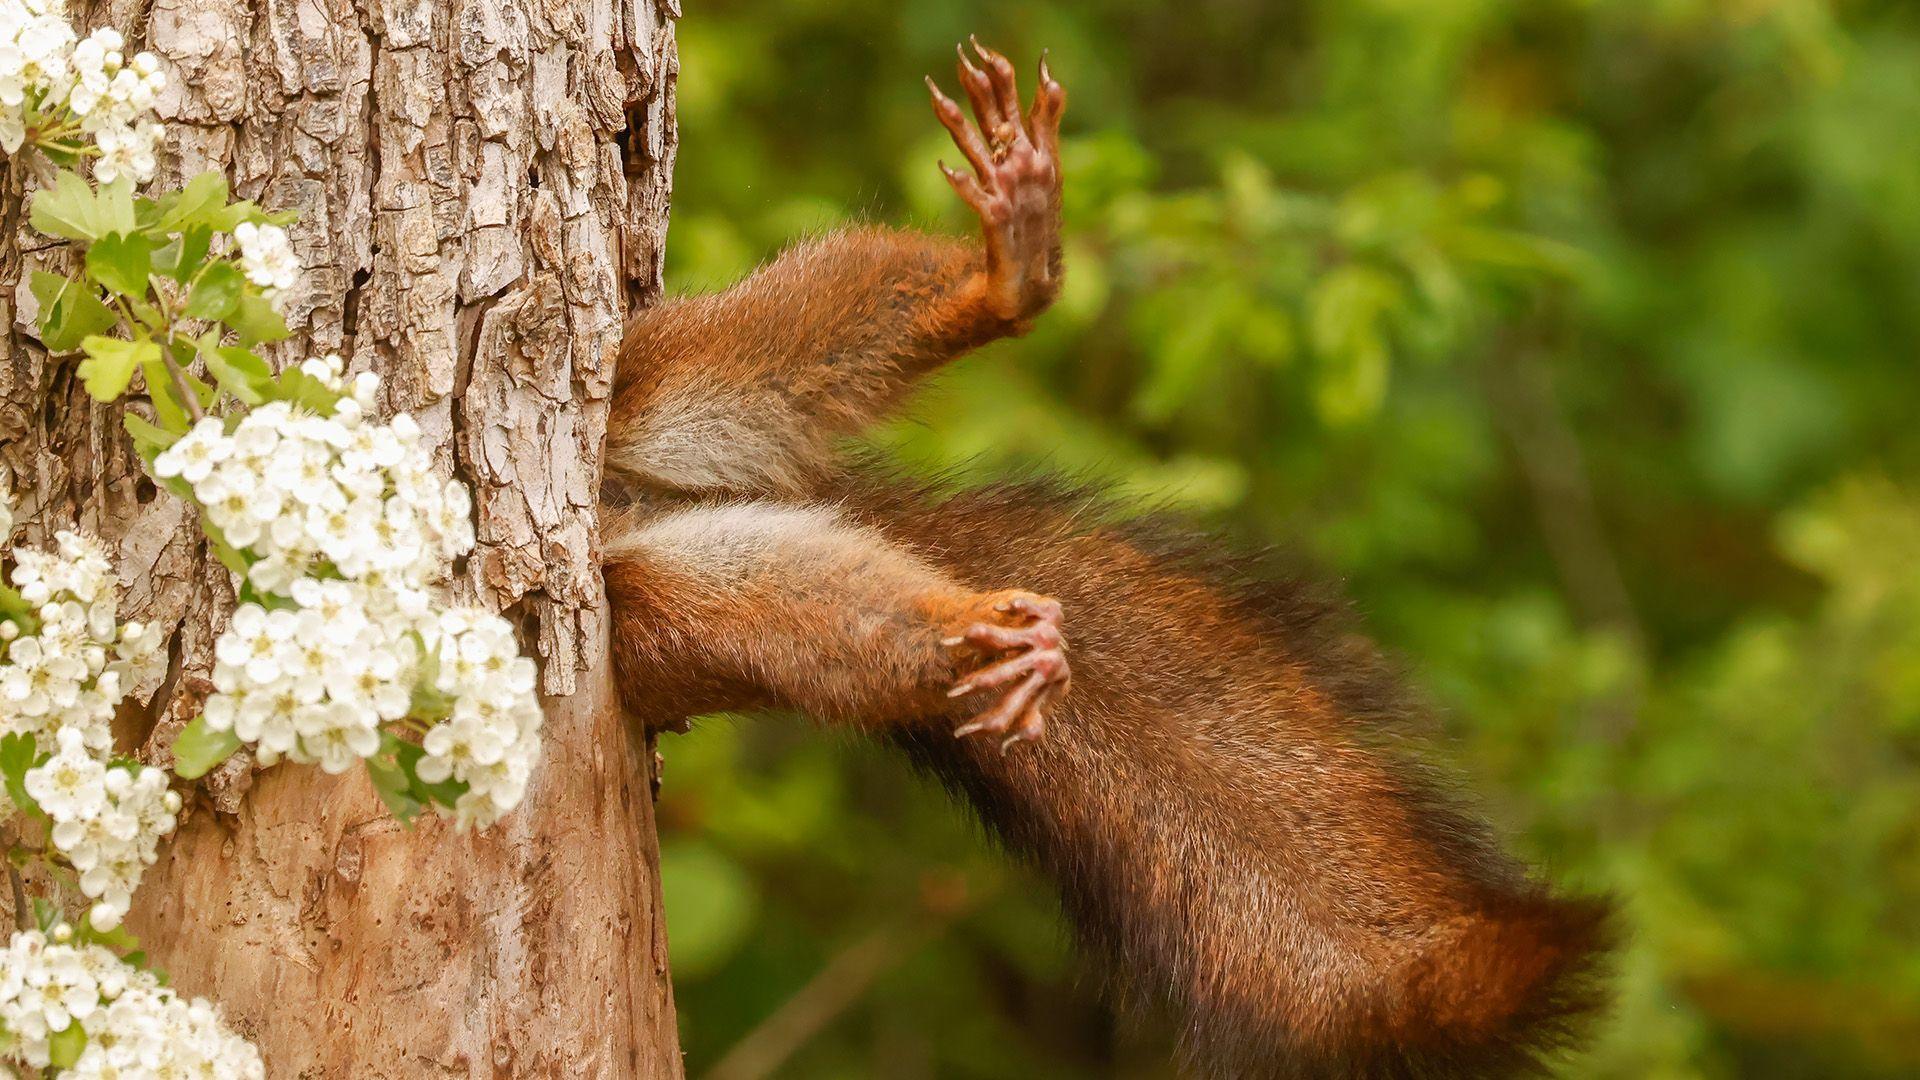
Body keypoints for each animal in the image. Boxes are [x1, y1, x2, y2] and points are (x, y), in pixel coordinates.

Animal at [595, 39, 1605, 1076]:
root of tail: (635, 507)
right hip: (664, 607)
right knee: (802, 615)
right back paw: (983, 636)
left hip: (655, 375)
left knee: (782, 341)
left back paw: (1010, 272)